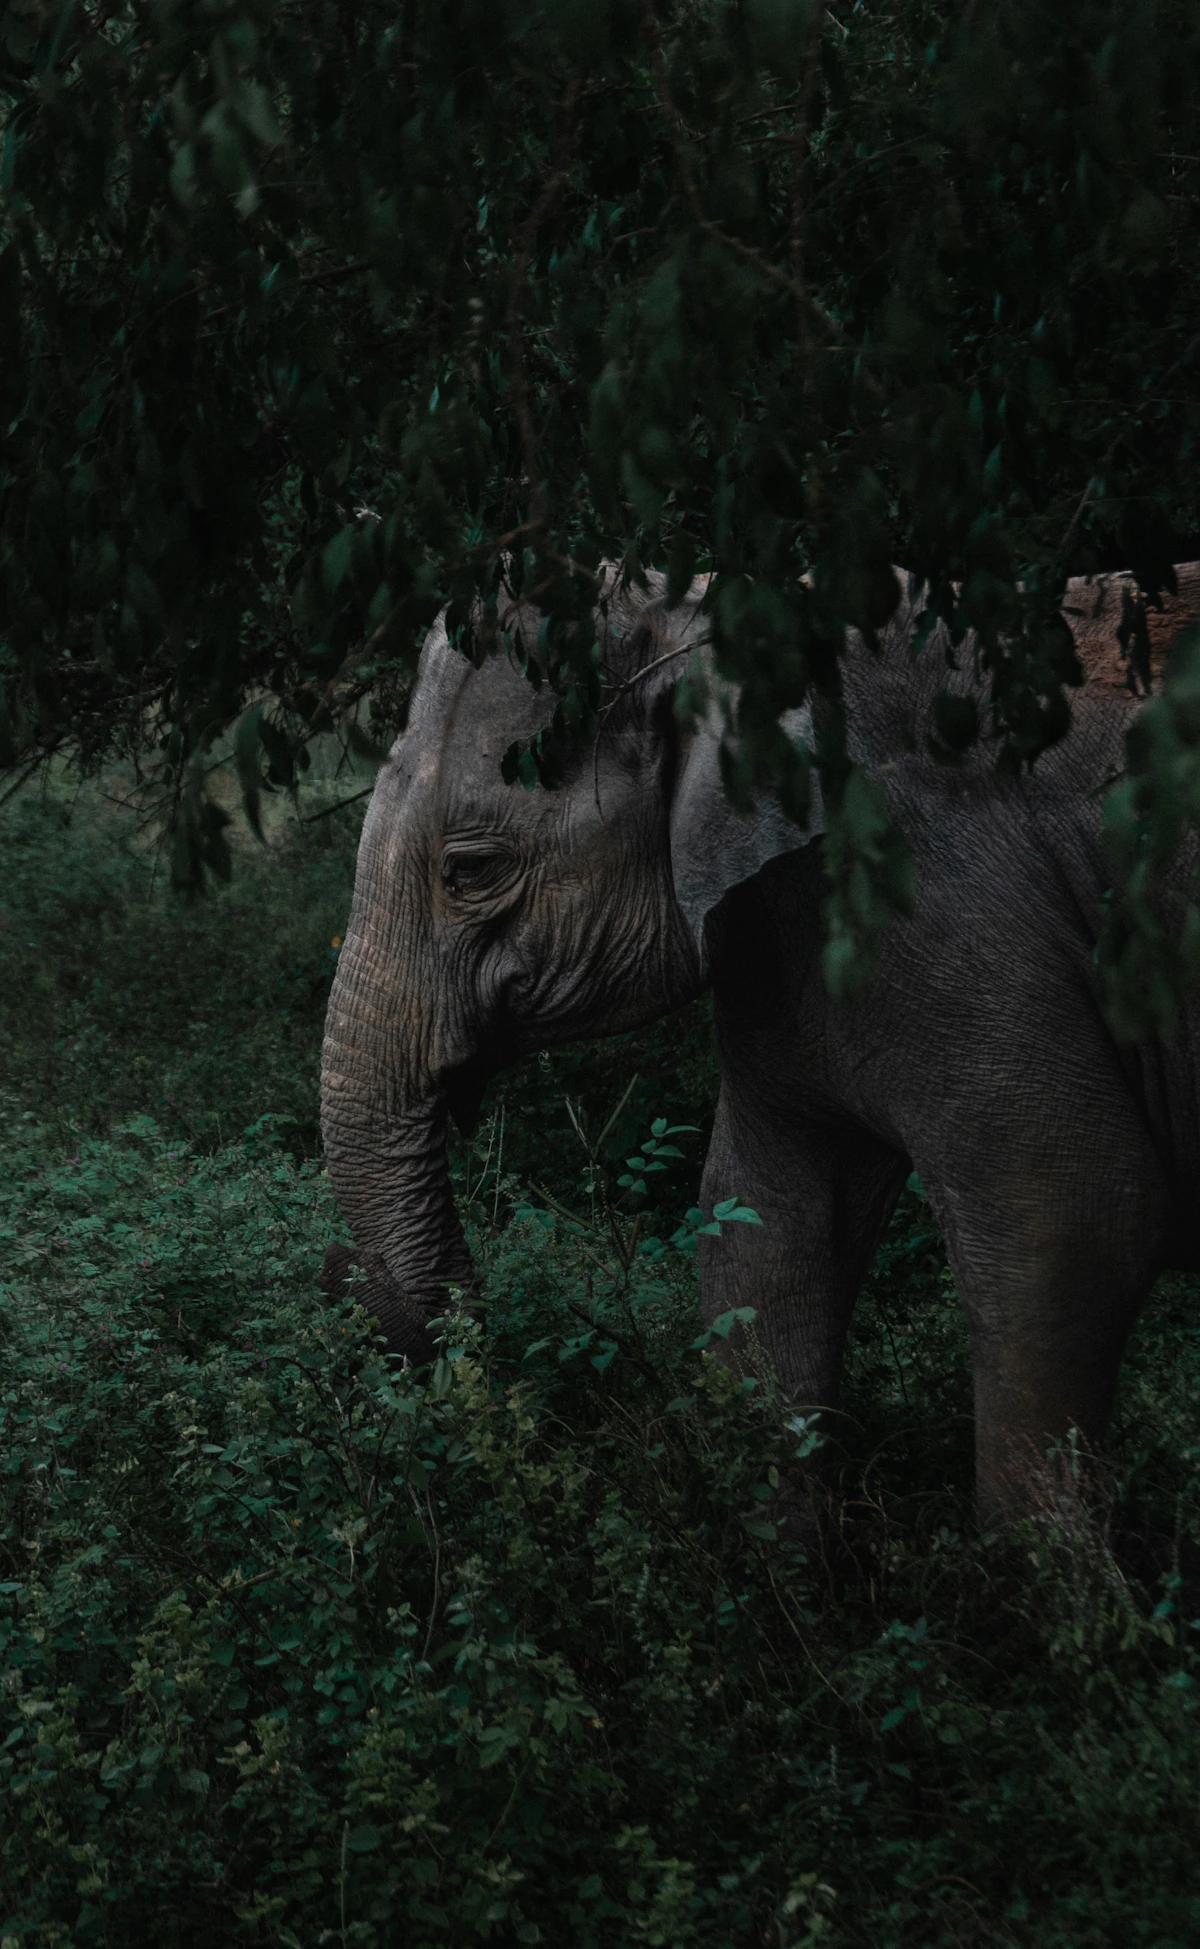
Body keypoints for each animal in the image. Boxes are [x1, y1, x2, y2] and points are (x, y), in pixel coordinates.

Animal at [320, 564, 1200, 1517]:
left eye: (470, 870)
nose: (342, 1282)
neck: (706, 612)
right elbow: (765, 1229)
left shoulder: (952, 905)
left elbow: (1072, 1225)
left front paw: (1039, 1560)